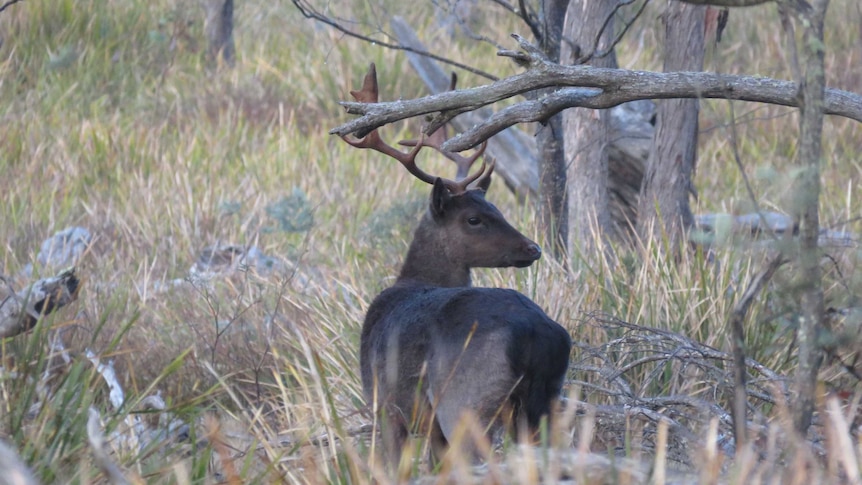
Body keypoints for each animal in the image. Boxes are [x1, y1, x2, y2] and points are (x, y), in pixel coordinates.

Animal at [342, 63, 572, 466]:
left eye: (494, 210)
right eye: (475, 218)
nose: (533, 248)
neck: (411, 280)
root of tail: (535, 335)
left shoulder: (384, 406)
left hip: (464, 403)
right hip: (545, 403)